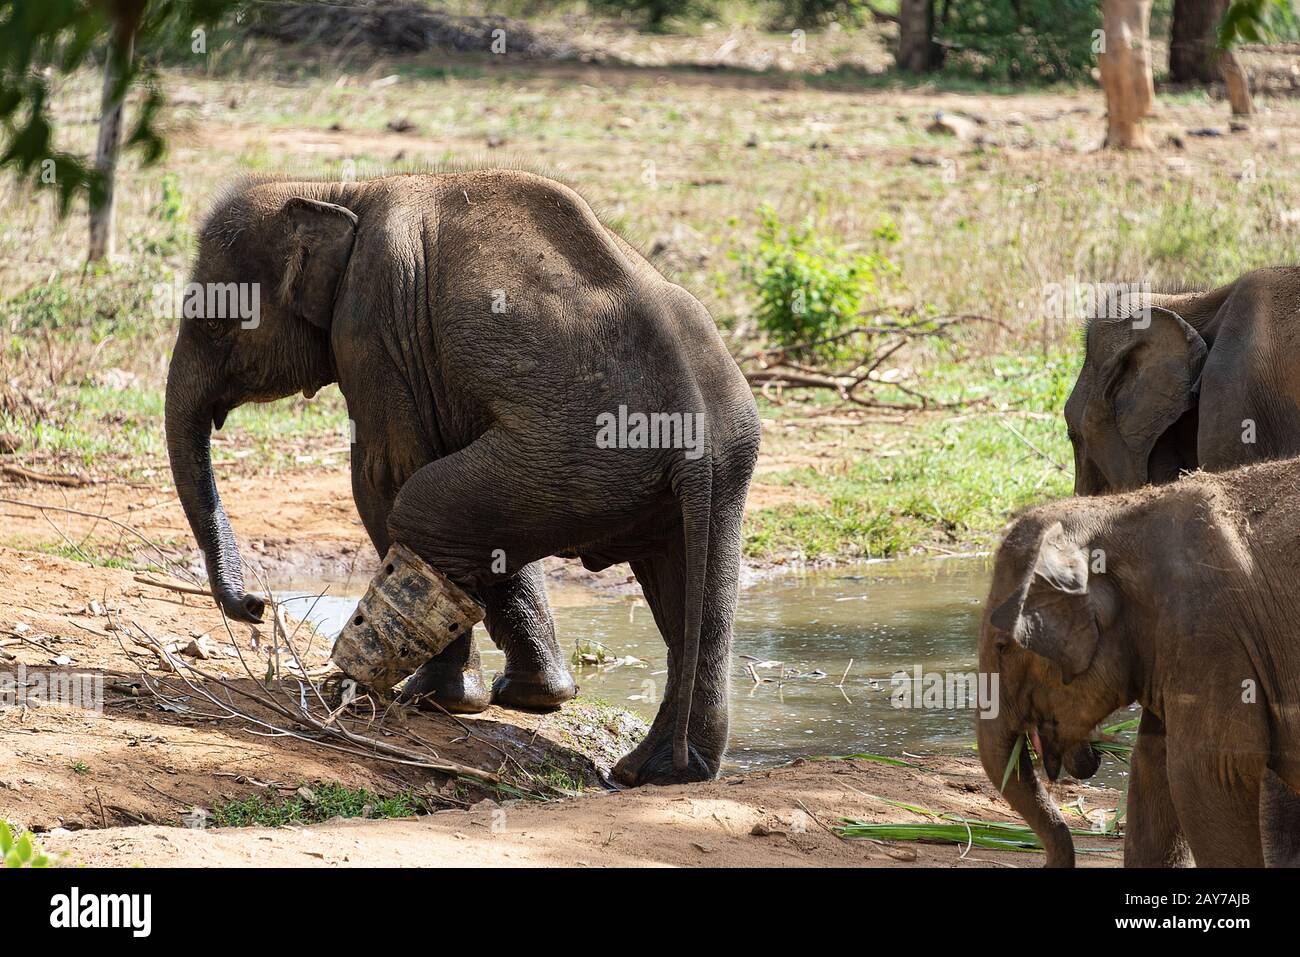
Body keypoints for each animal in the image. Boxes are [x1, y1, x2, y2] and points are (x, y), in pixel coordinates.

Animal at [162, 171, 759, 785]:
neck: (339, 190)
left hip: (580, 453)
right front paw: (534, 699)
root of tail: (690, 426)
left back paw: (393, 691)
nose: (258, 605)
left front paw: (447, 702)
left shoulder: (373, 326)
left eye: (216, 322)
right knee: (696, 595)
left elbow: (386, 477)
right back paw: (659, 772)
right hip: (715, 462)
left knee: (424, 510)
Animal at [977, 457, 1300, 868]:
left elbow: (1206, 774)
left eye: (1003, 647)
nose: (1043, 861)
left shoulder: (1209, 633)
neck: (1118, 514)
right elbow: (1152, 767)